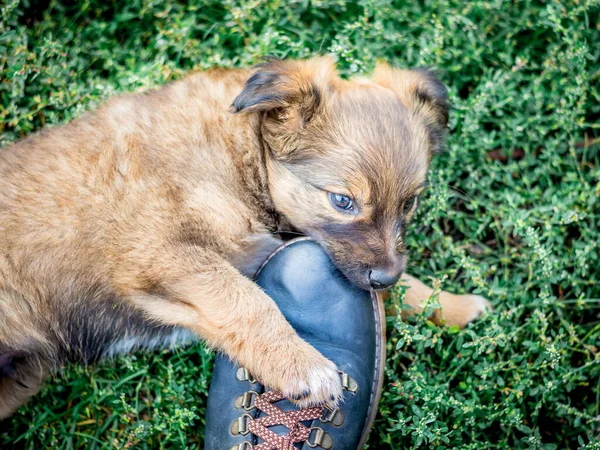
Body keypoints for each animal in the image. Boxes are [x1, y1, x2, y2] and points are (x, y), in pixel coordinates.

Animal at [0, 56, 488, 418]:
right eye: (343, 201)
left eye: (409, 204)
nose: (385, 276)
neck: (245, 152)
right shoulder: (161, 253)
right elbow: (247, 302)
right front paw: (302, 368)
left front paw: (453, 306)